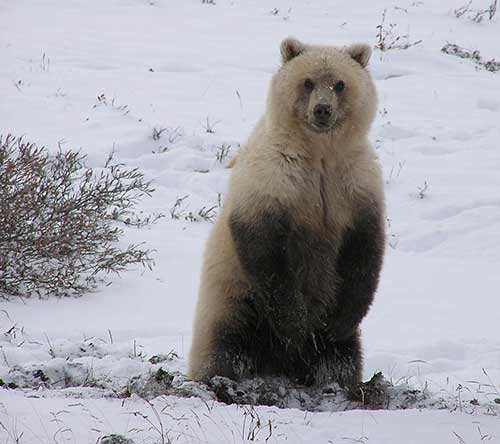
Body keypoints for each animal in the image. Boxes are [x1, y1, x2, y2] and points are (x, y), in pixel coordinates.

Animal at [189, 37, 384, 392]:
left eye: (339, 84)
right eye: (307, 82)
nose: (322, 110)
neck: (319, 154)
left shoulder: (356, 183)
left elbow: (364, 251)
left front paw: (337, 323)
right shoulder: (275, 178)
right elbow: (266, 251)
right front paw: (295, 325)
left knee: (341, 358)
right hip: (233, 303)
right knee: (226, 348)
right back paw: (222, 380)